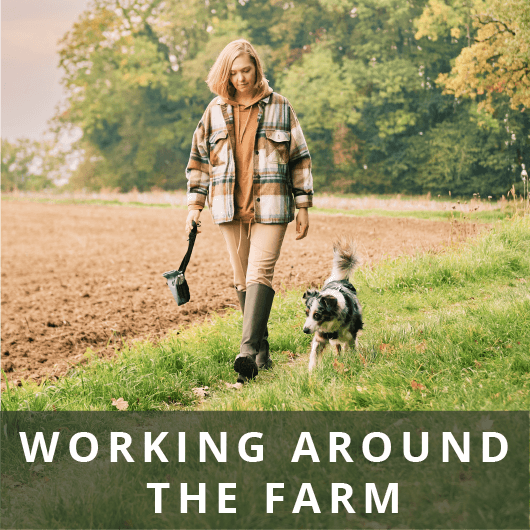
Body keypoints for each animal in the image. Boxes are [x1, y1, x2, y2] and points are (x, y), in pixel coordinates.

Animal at [304, 237, 360, 370]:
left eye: (317, 315)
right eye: (306, 313)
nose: (305, 330)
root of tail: (341, 280)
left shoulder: (351, 335)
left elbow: (350, 347)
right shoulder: (320, 337)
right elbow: (314, 355)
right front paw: (311, 372)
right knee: (337, 347)